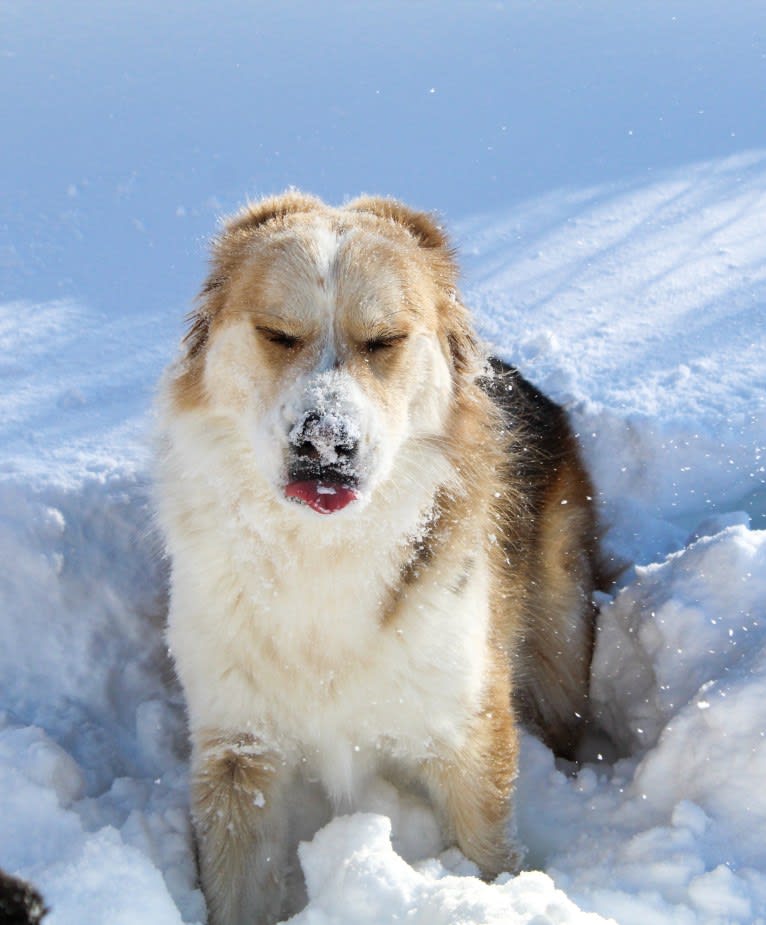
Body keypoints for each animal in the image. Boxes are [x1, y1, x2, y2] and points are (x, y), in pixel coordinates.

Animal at [153, 191, 604, 920]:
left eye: (384, 340)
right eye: (277, 334)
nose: (324, 442)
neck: (323, 548)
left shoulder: (467, 729)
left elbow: (486, 856)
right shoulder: (237, 746)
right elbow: (237, 887)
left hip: (561, 648)